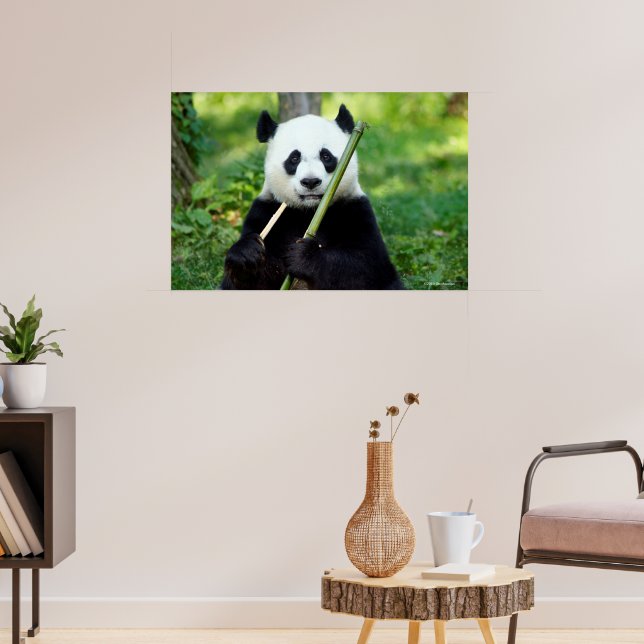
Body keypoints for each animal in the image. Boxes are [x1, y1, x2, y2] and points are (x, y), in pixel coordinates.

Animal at [221, 105, 403, 290]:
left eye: (326, 156)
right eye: (294, 158)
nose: (310, 181)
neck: (309, 211)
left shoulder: (354, 209)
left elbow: (366, 266)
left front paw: (304, 255)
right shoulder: (266, 210)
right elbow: (253, 281)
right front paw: (246, 254)